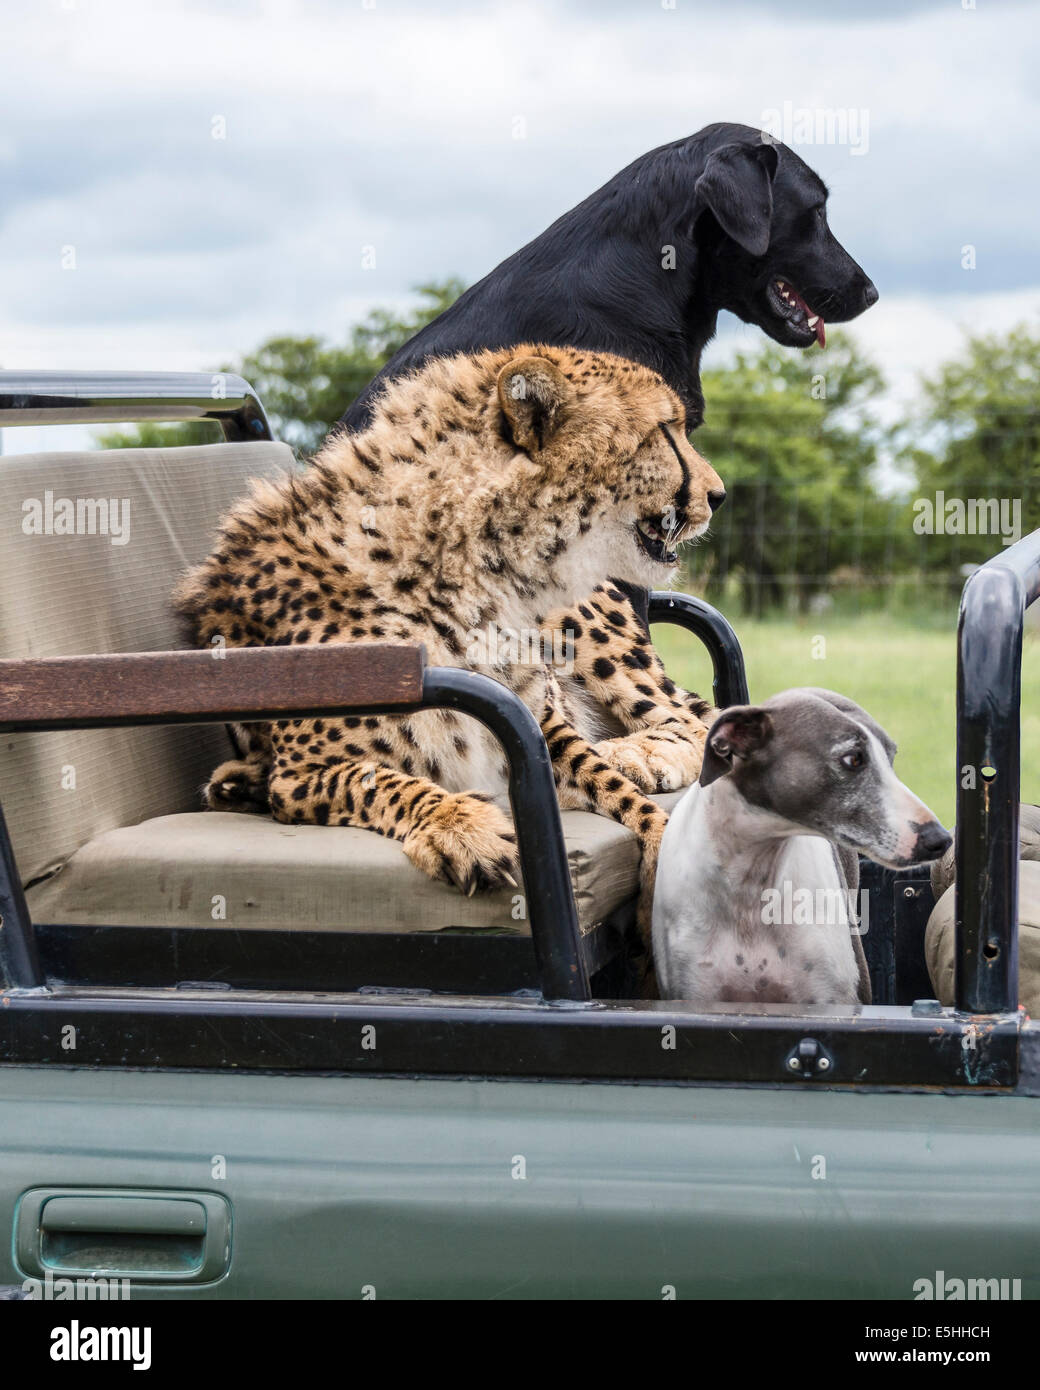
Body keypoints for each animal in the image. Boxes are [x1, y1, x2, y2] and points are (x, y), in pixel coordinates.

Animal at [174, 344, 722, 934]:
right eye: (663, 430)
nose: (718, 495)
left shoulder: (544, 731)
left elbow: (617, 789)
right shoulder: (298, 777)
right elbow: (377, 780)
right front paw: (462, 827)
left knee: (691, 719)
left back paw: (637, 755)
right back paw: (235, 781)